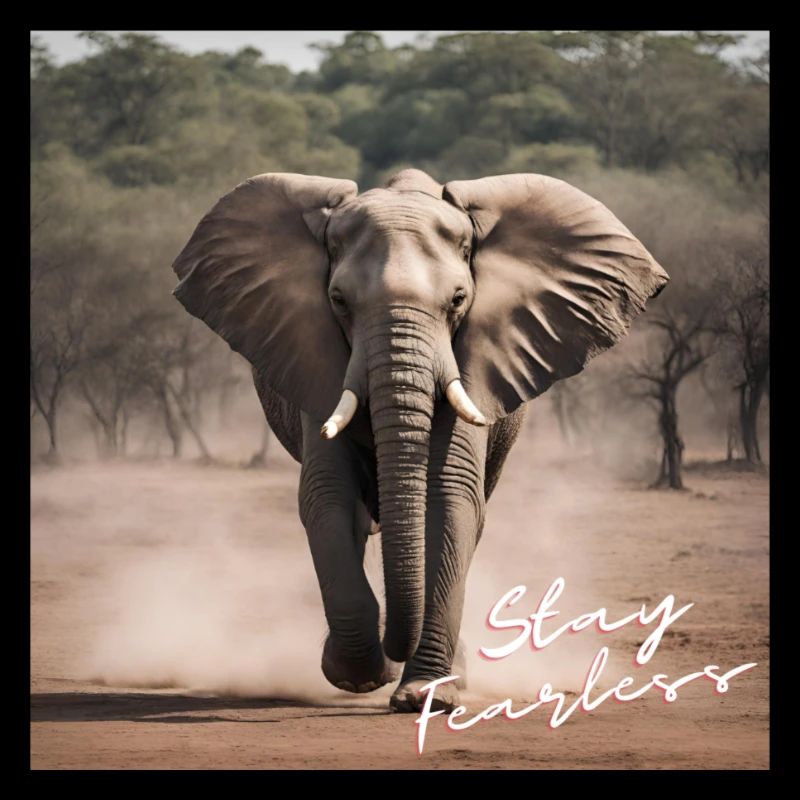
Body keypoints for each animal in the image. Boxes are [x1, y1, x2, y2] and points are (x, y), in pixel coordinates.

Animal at [170, 168, 669, 712]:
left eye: (458, 300)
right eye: (339, 301)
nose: (396, 656)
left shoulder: (475, 363)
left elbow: (450, 494)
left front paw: (424, 694)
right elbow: (329, 494)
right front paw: (359, 676)